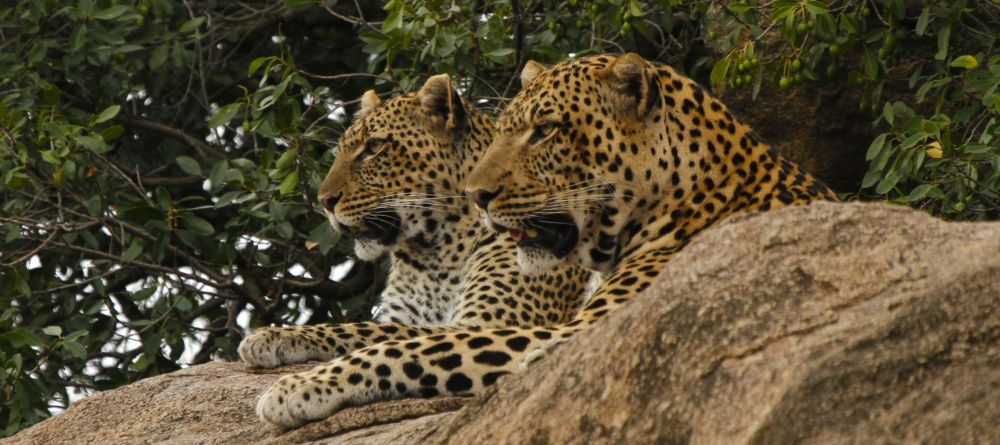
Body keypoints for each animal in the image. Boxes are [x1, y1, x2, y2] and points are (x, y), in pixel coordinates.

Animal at [237, 74, 588, 368]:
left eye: (375, 147)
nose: (325, 201)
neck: (435, 252)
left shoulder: (489, 323)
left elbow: (360, 329)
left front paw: (273, 336)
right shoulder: (405, 313)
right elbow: (370, 328)